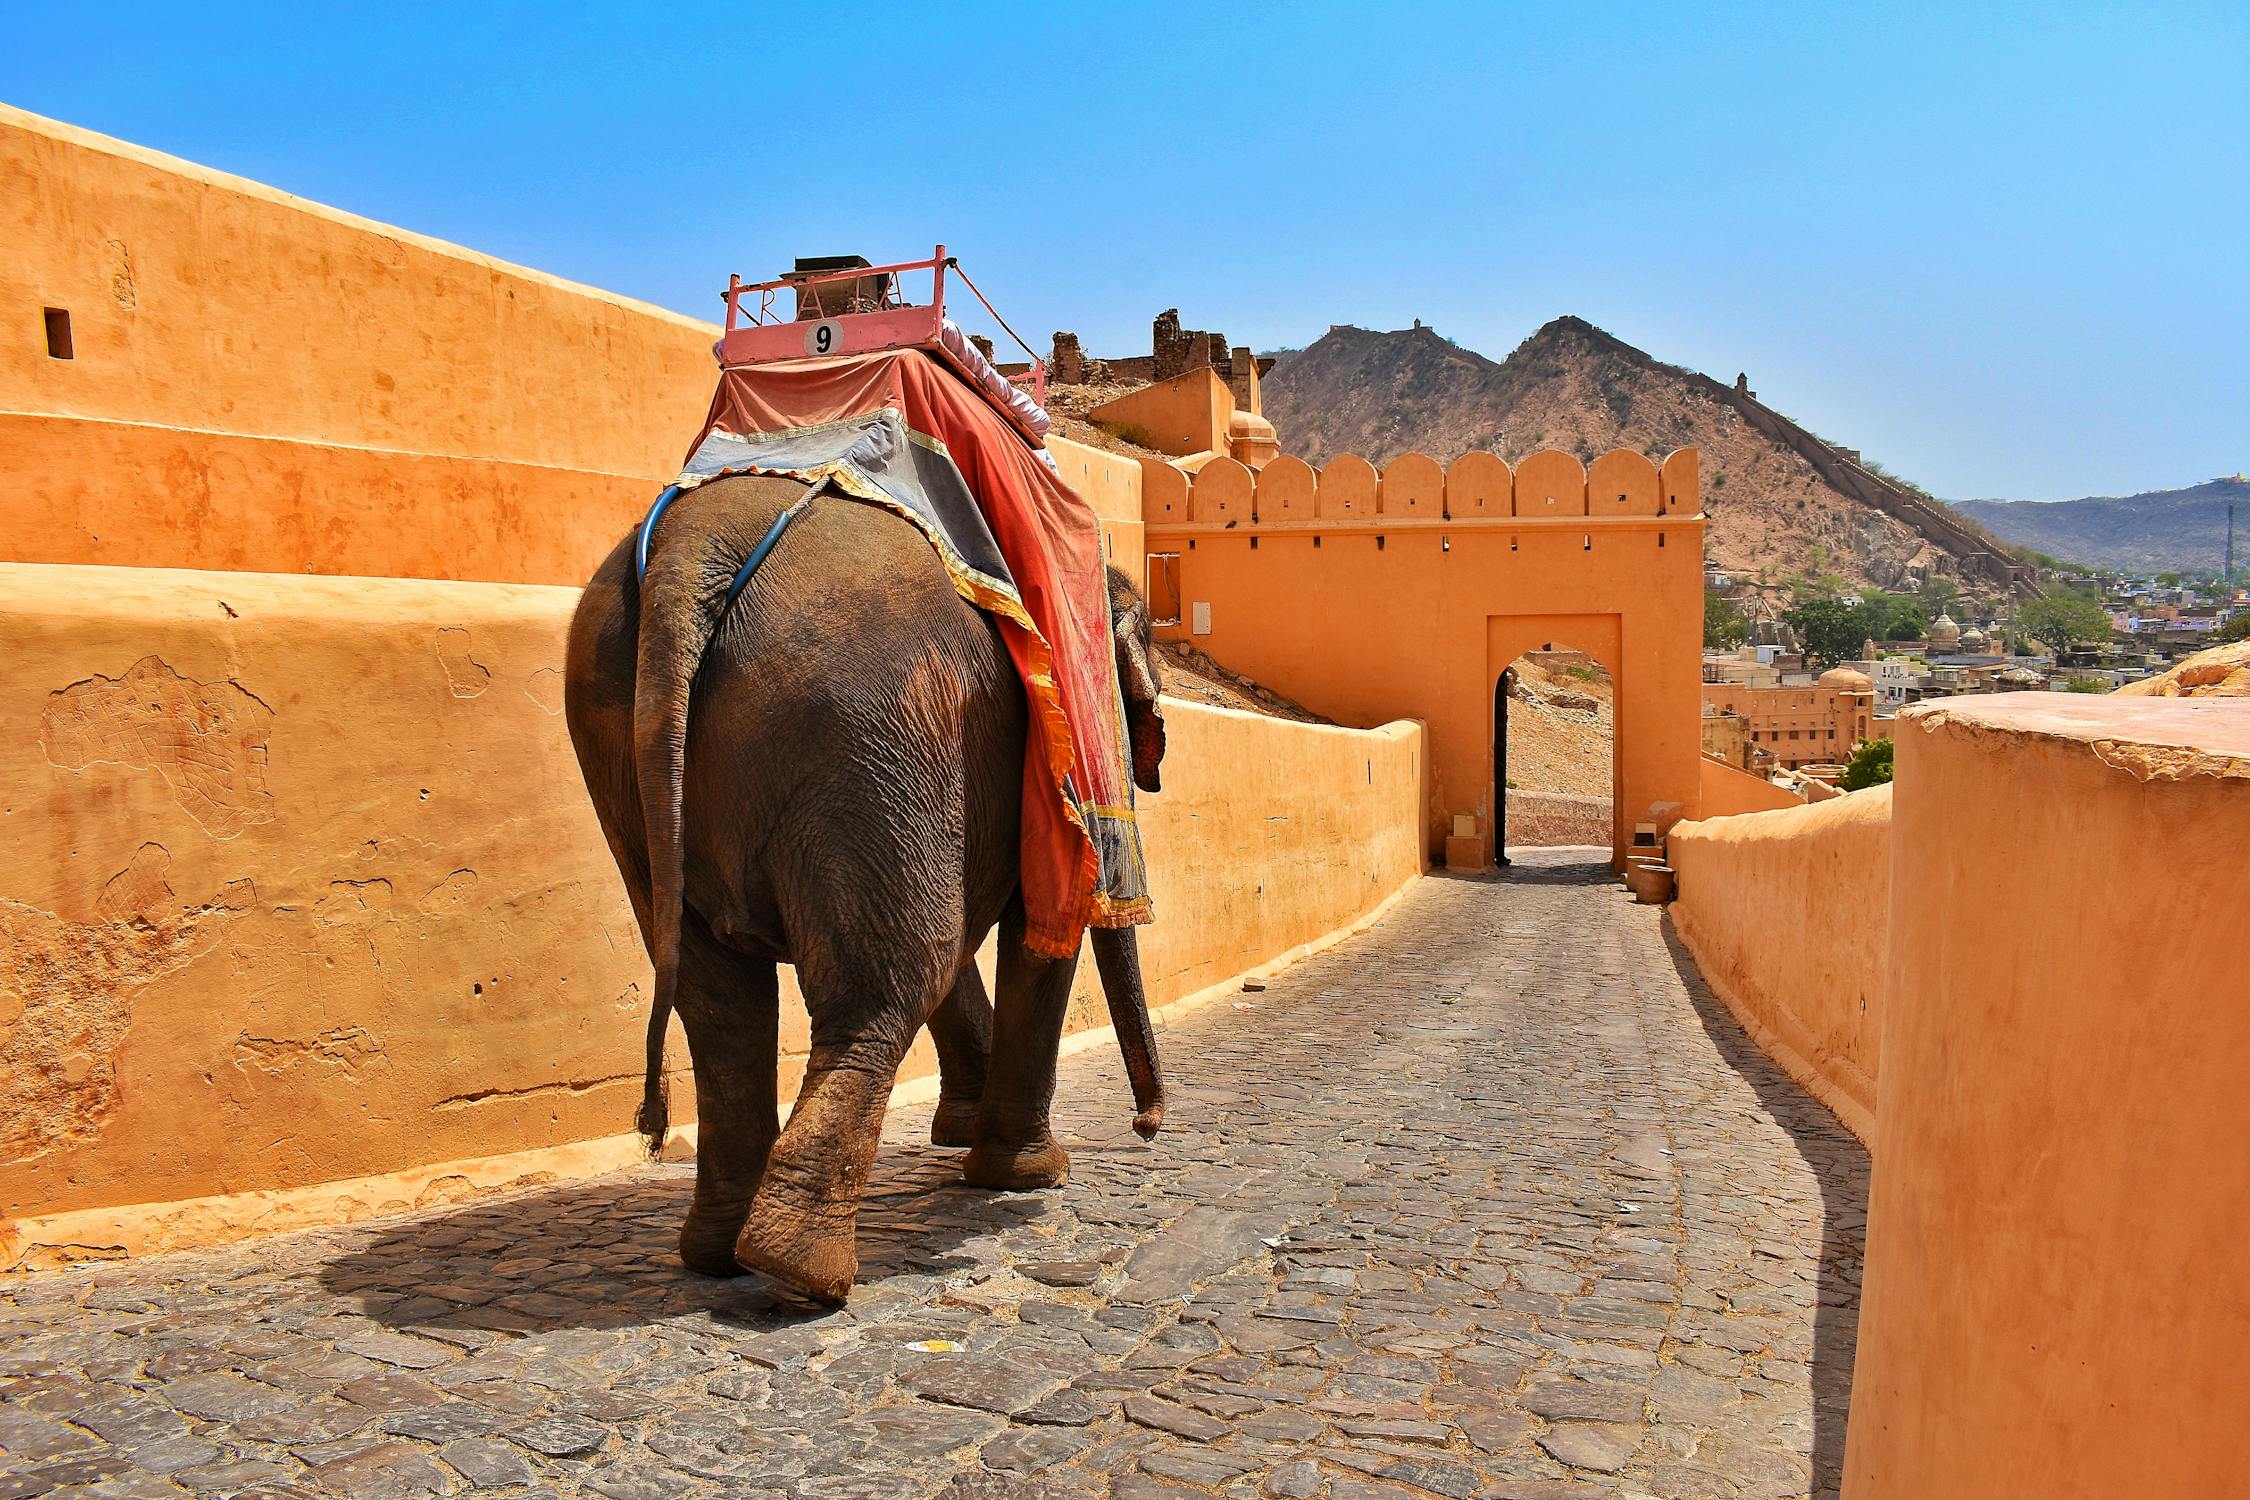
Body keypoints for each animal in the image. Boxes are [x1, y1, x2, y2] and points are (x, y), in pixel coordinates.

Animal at [560, 472, 1170, 1304]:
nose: (1146, 1129)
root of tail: (692, 552)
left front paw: (963, 1134)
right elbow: (1032, 934)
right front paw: (1029, 1175)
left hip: (626, 746)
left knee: (720, 1006)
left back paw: (719, 1255)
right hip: (860, 727)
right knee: (889, 980)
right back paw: (798, 1272)